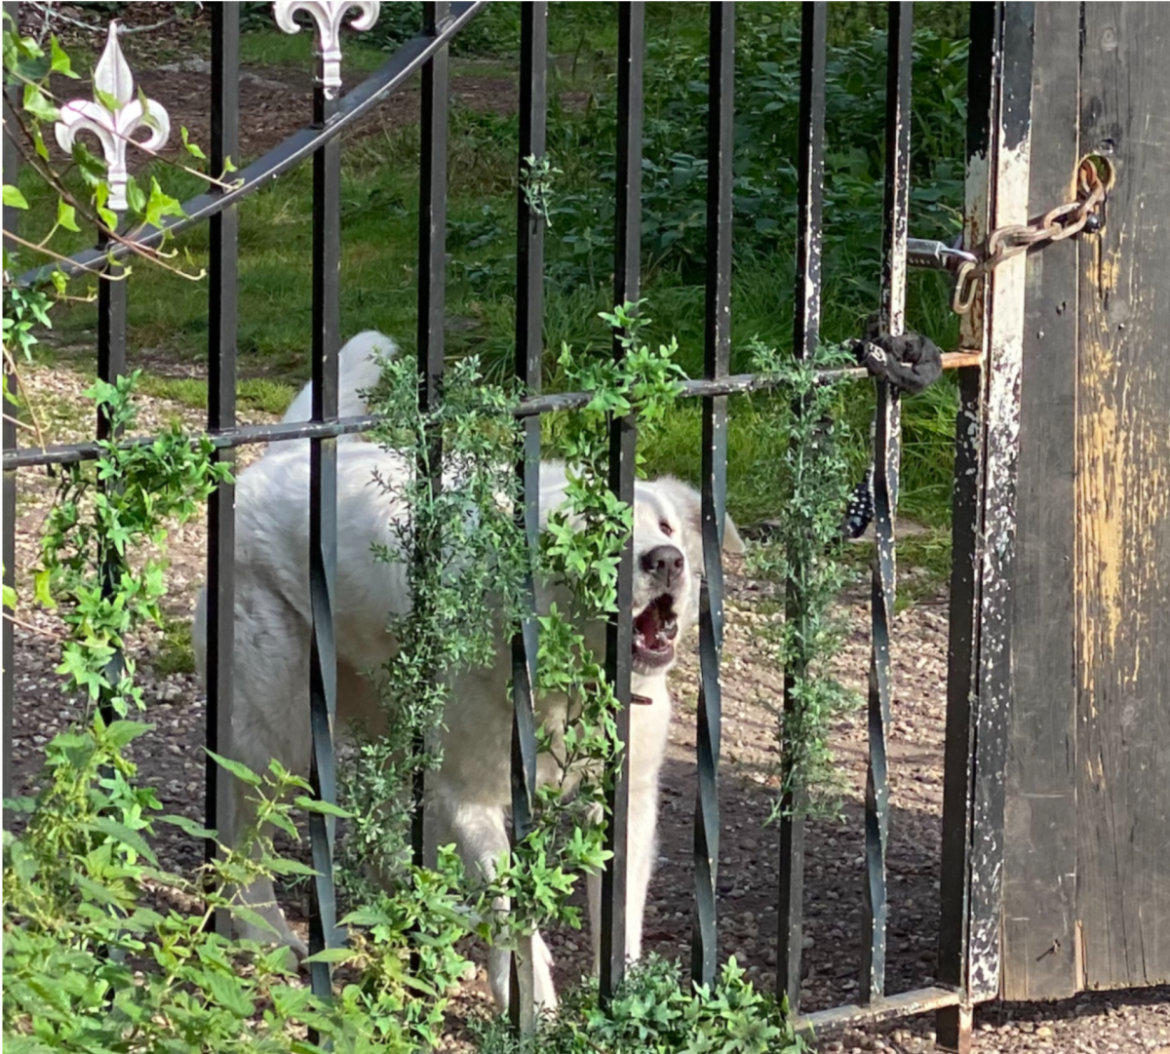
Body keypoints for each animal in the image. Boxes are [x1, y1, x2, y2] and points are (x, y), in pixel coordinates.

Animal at [190, 332, 739, 1006]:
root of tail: (284, 457)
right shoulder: (471, 798)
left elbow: (619, 916)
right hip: (277, 734)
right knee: (244, 836)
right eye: (590, 531)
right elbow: (513, 913)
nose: (666, 560)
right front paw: (535, 1004)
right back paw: (266, 933)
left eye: (664, 527)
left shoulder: (625, 801)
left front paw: (622, 994)